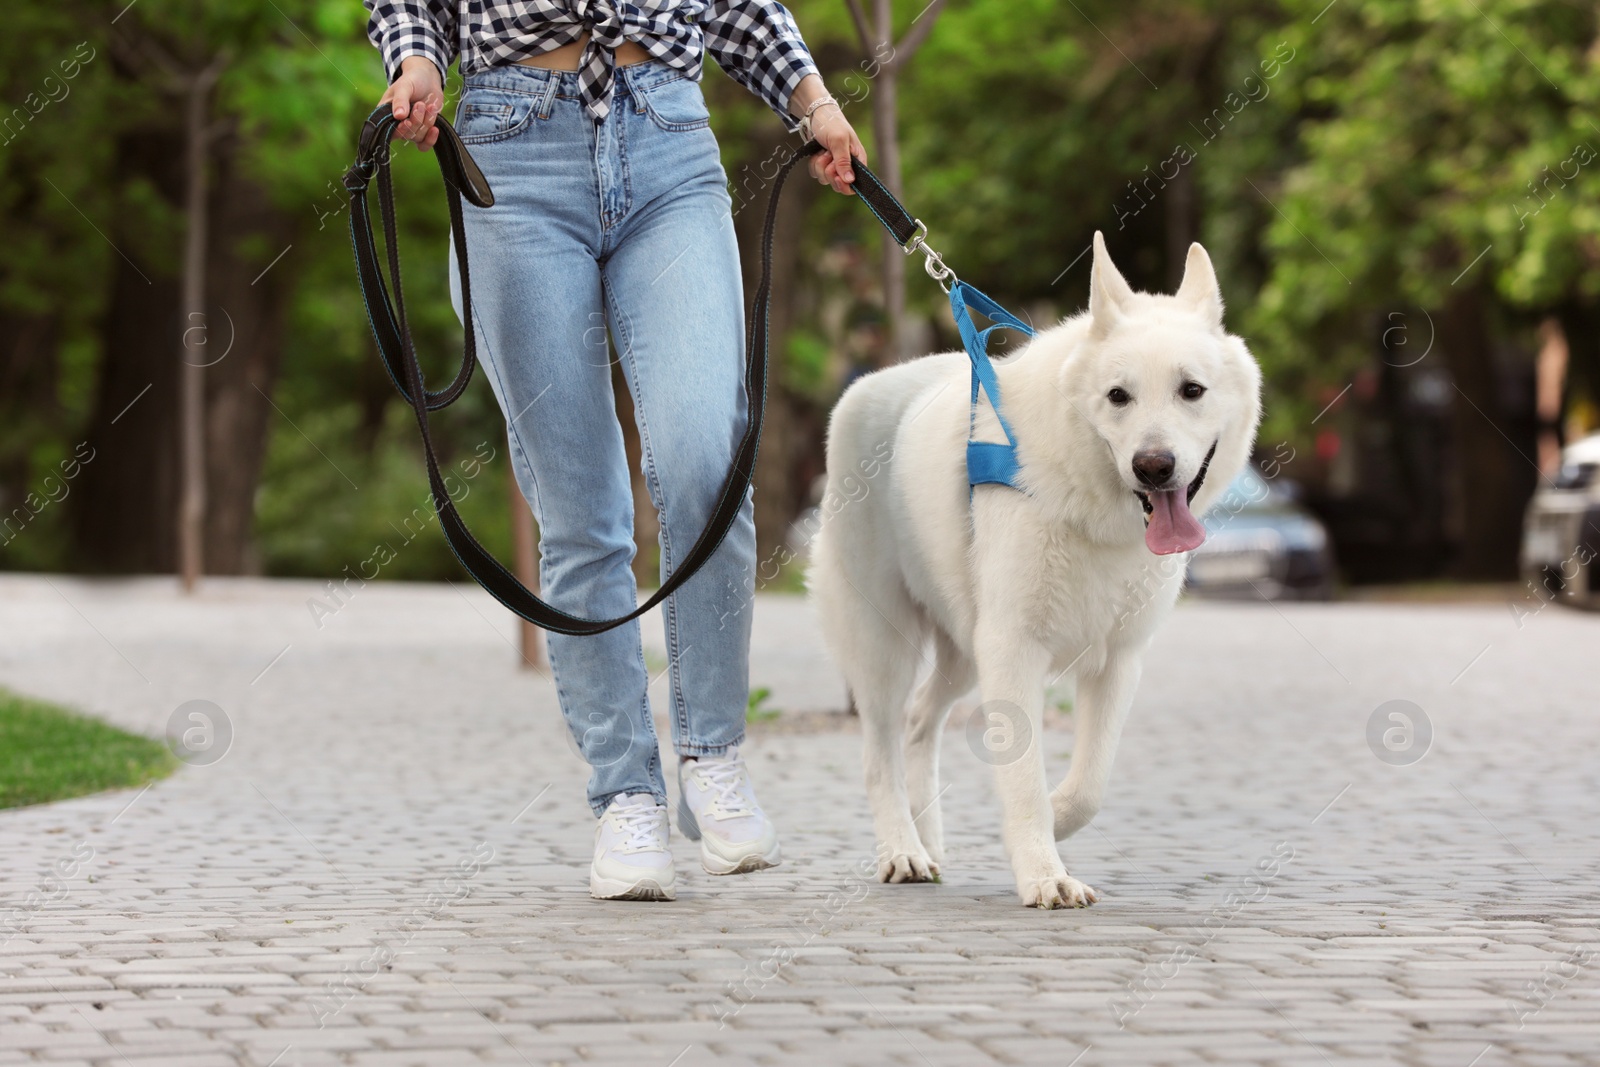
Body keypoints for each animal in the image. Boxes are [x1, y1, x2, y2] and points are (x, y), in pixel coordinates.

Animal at [819, 233, 1254, 908]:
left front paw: (1053, 823)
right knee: (878, 749)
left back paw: (930, 844)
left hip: (964, 654)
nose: (1154, 466)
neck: (1093, 505)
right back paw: (902, 851)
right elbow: (1023, 780)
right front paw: (1044, 874)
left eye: (1192, 390)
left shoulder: (1118, 661)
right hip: (885, 645)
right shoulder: (1013, 650)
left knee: (919, 722)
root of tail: (861, 388)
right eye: (1118, 396)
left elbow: (1089, 786)